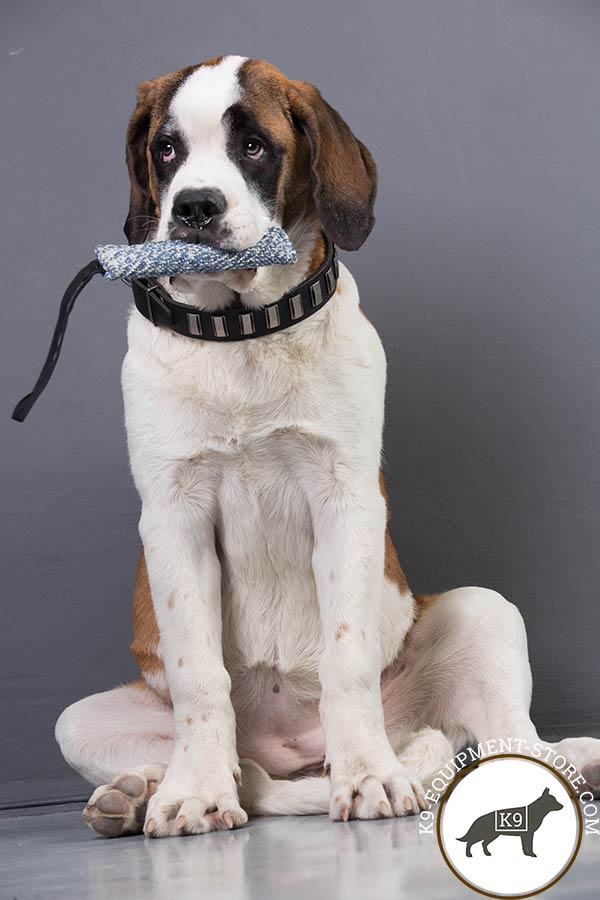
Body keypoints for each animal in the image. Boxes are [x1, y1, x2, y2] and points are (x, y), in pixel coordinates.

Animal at [56, 52, 600, 836]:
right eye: (165, 150)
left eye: (254, 146)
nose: (193, 207)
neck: (243, 336)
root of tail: (294, 757)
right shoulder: (173, 515)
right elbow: (198, 676)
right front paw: (193, 789)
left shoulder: (345, 499)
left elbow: (347, 659)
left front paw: (369, 775)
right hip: (82, 721)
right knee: (234, 770)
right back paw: (134, 794)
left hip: (483, 612)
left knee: (519, 747)